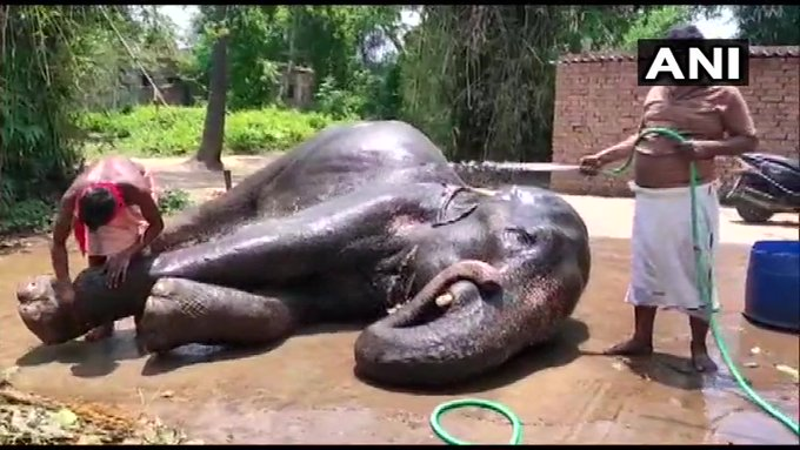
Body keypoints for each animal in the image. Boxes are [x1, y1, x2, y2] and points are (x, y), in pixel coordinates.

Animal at [16, 120, 591, 387]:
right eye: (518, 238)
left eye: (540, 341)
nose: (476, 281)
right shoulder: (385, 200)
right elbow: (267, 245)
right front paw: (44, 308)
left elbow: (288, 309)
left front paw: (165, 311)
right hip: (278, 164)